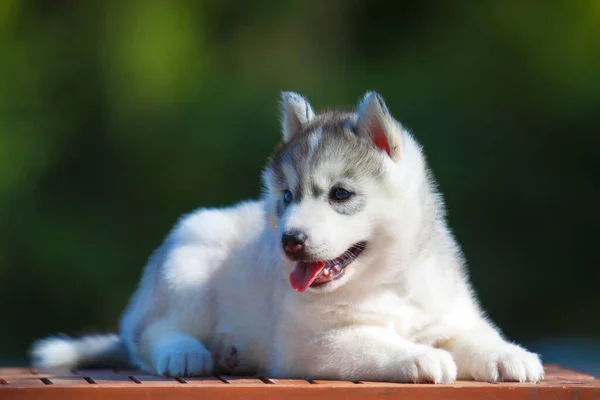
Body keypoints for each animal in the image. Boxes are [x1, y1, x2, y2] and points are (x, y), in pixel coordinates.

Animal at [31, 92, 544, 382]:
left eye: (340, 194)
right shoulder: (316, 343)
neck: (387, 283)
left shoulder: (449, 313)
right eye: (286, 196)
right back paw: (188, 353)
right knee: (152, 335)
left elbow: (474, 335)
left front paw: (508, 355)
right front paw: (419, 357)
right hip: (189, 262)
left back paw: (230, 352)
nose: (290, 241)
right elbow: (375, 342)